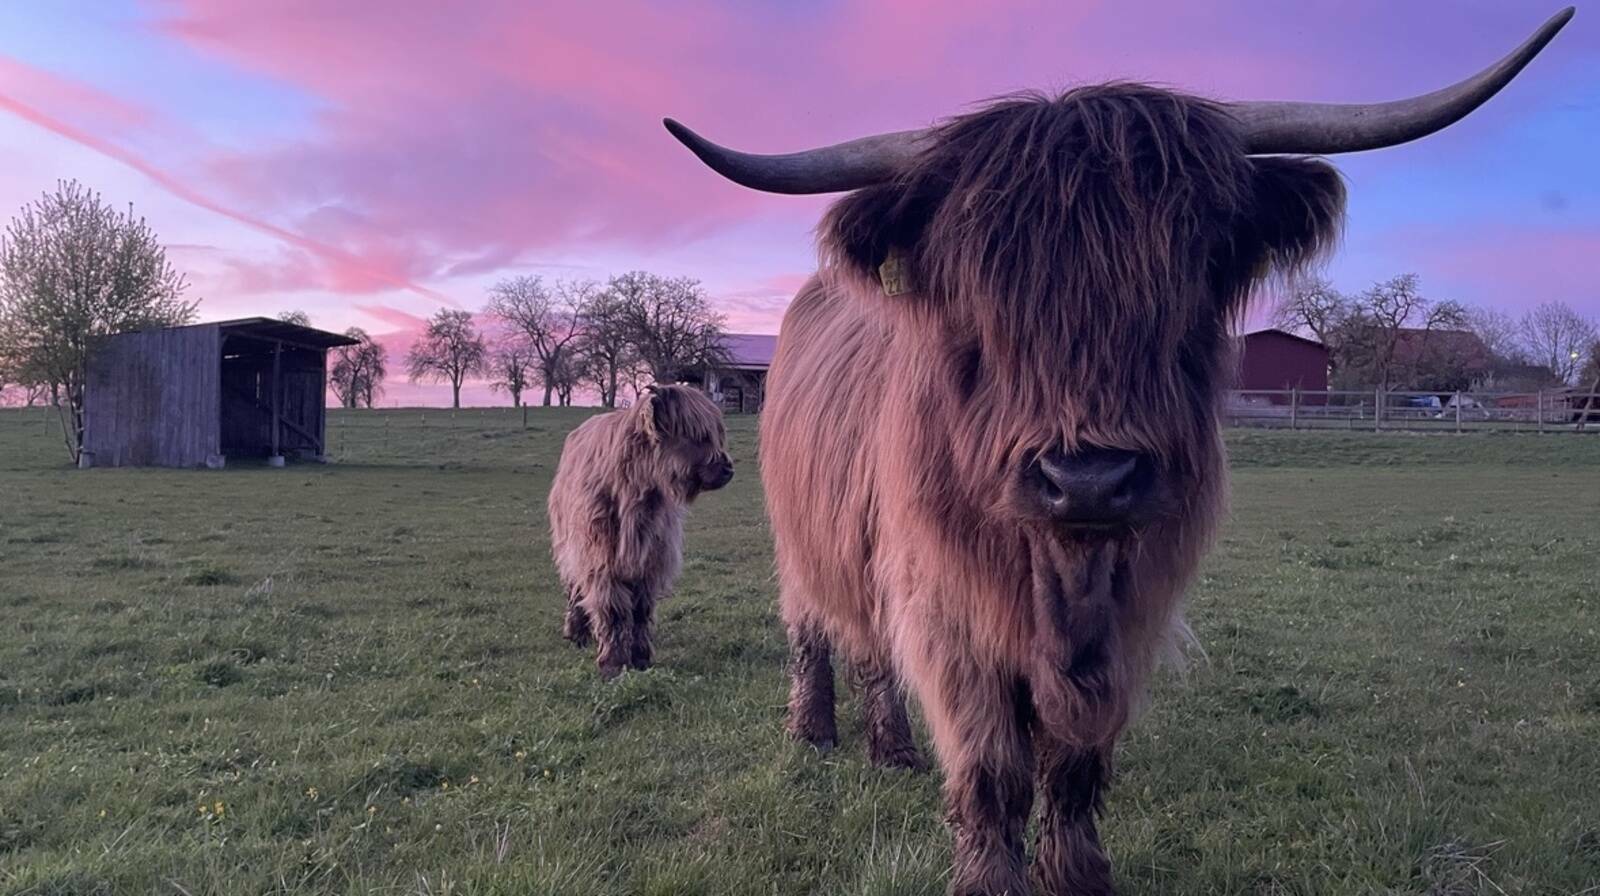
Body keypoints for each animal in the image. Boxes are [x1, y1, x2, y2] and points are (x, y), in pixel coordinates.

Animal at [548, 384, 734, 679]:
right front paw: (612, 663)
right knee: (575, 590)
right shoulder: (601, 558)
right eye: (698, 435)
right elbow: (612, 609)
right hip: (570, 546)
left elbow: (640, 610)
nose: (729, 469)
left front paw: (640, 657)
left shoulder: (650, 559)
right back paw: (576, 633)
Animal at [664, 9, 1572, 894]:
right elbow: (992, 770)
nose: (1088, 481)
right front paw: (990, 876)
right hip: (803, 539)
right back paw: (816, 732)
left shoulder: (1133, 611)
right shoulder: (947, 609)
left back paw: (892, 751)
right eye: (976, 289)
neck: (1064, 576)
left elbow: (1073, 768)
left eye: (1193, 266)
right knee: (816, 628)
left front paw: (1077, 874)